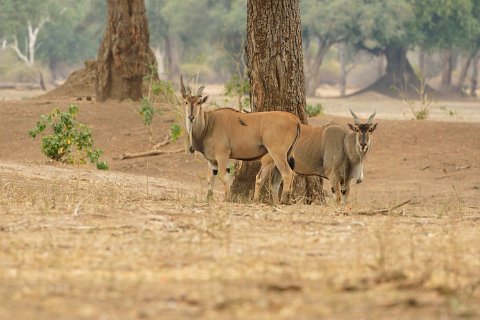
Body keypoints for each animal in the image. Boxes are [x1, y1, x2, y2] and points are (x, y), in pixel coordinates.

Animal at [180, 76, 300, 204]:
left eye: (198, 103)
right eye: (186, 102)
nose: (191, 117)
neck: (208, 124)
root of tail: (295, 119)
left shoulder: (222, 155)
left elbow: (223, 177)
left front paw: (227, 198)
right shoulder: (212, 161)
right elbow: (211, 178)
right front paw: (209, 198)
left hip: (277, 153)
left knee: (287, 173)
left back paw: (283, 200)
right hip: (285, 154)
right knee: (277, 179)